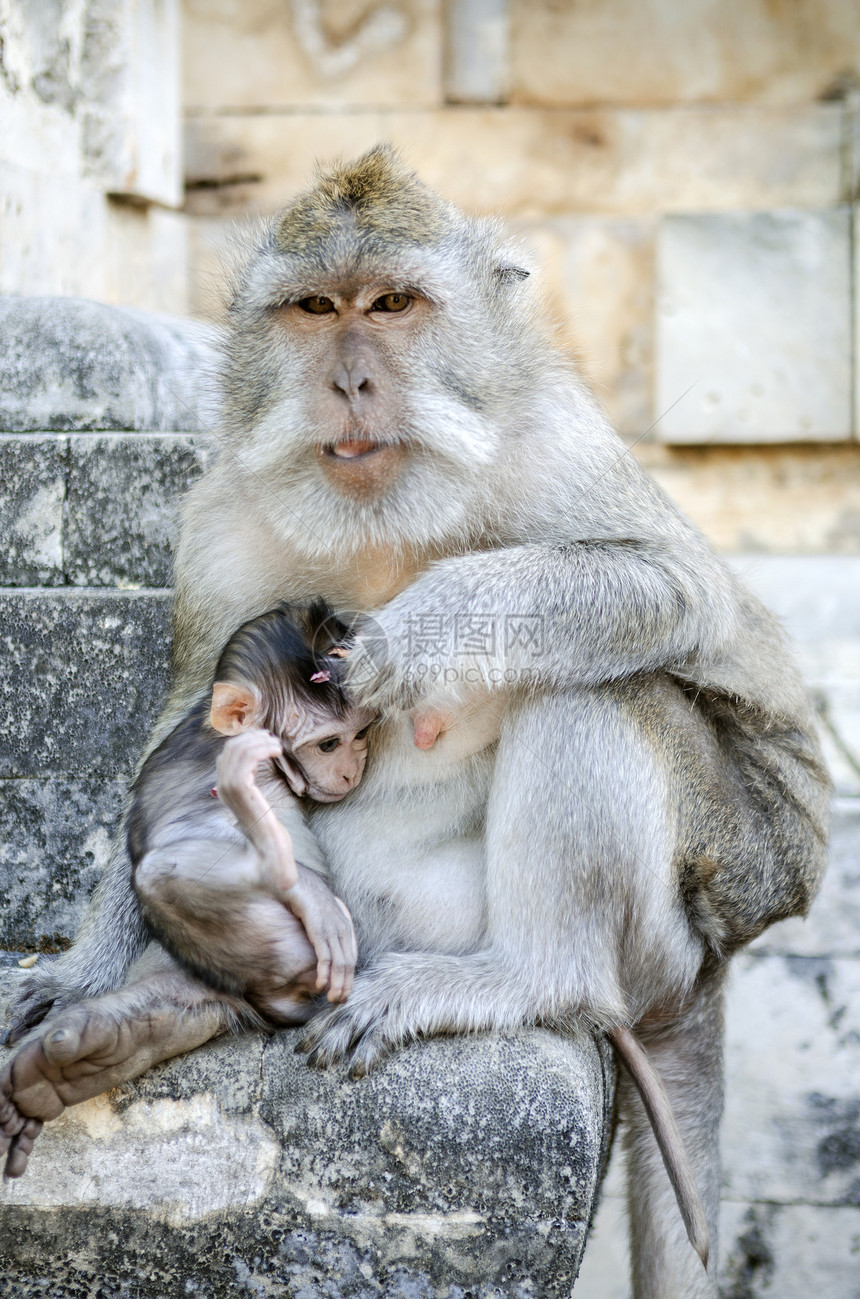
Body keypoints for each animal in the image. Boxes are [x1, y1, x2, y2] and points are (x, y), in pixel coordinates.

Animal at [129, 600, 376, 1023]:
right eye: (328, 744)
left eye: (359, 735)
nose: (350, 772)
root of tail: (264, 995)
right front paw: (311, 893)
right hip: (278, 945)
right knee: (157, 875)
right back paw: (276, 864)